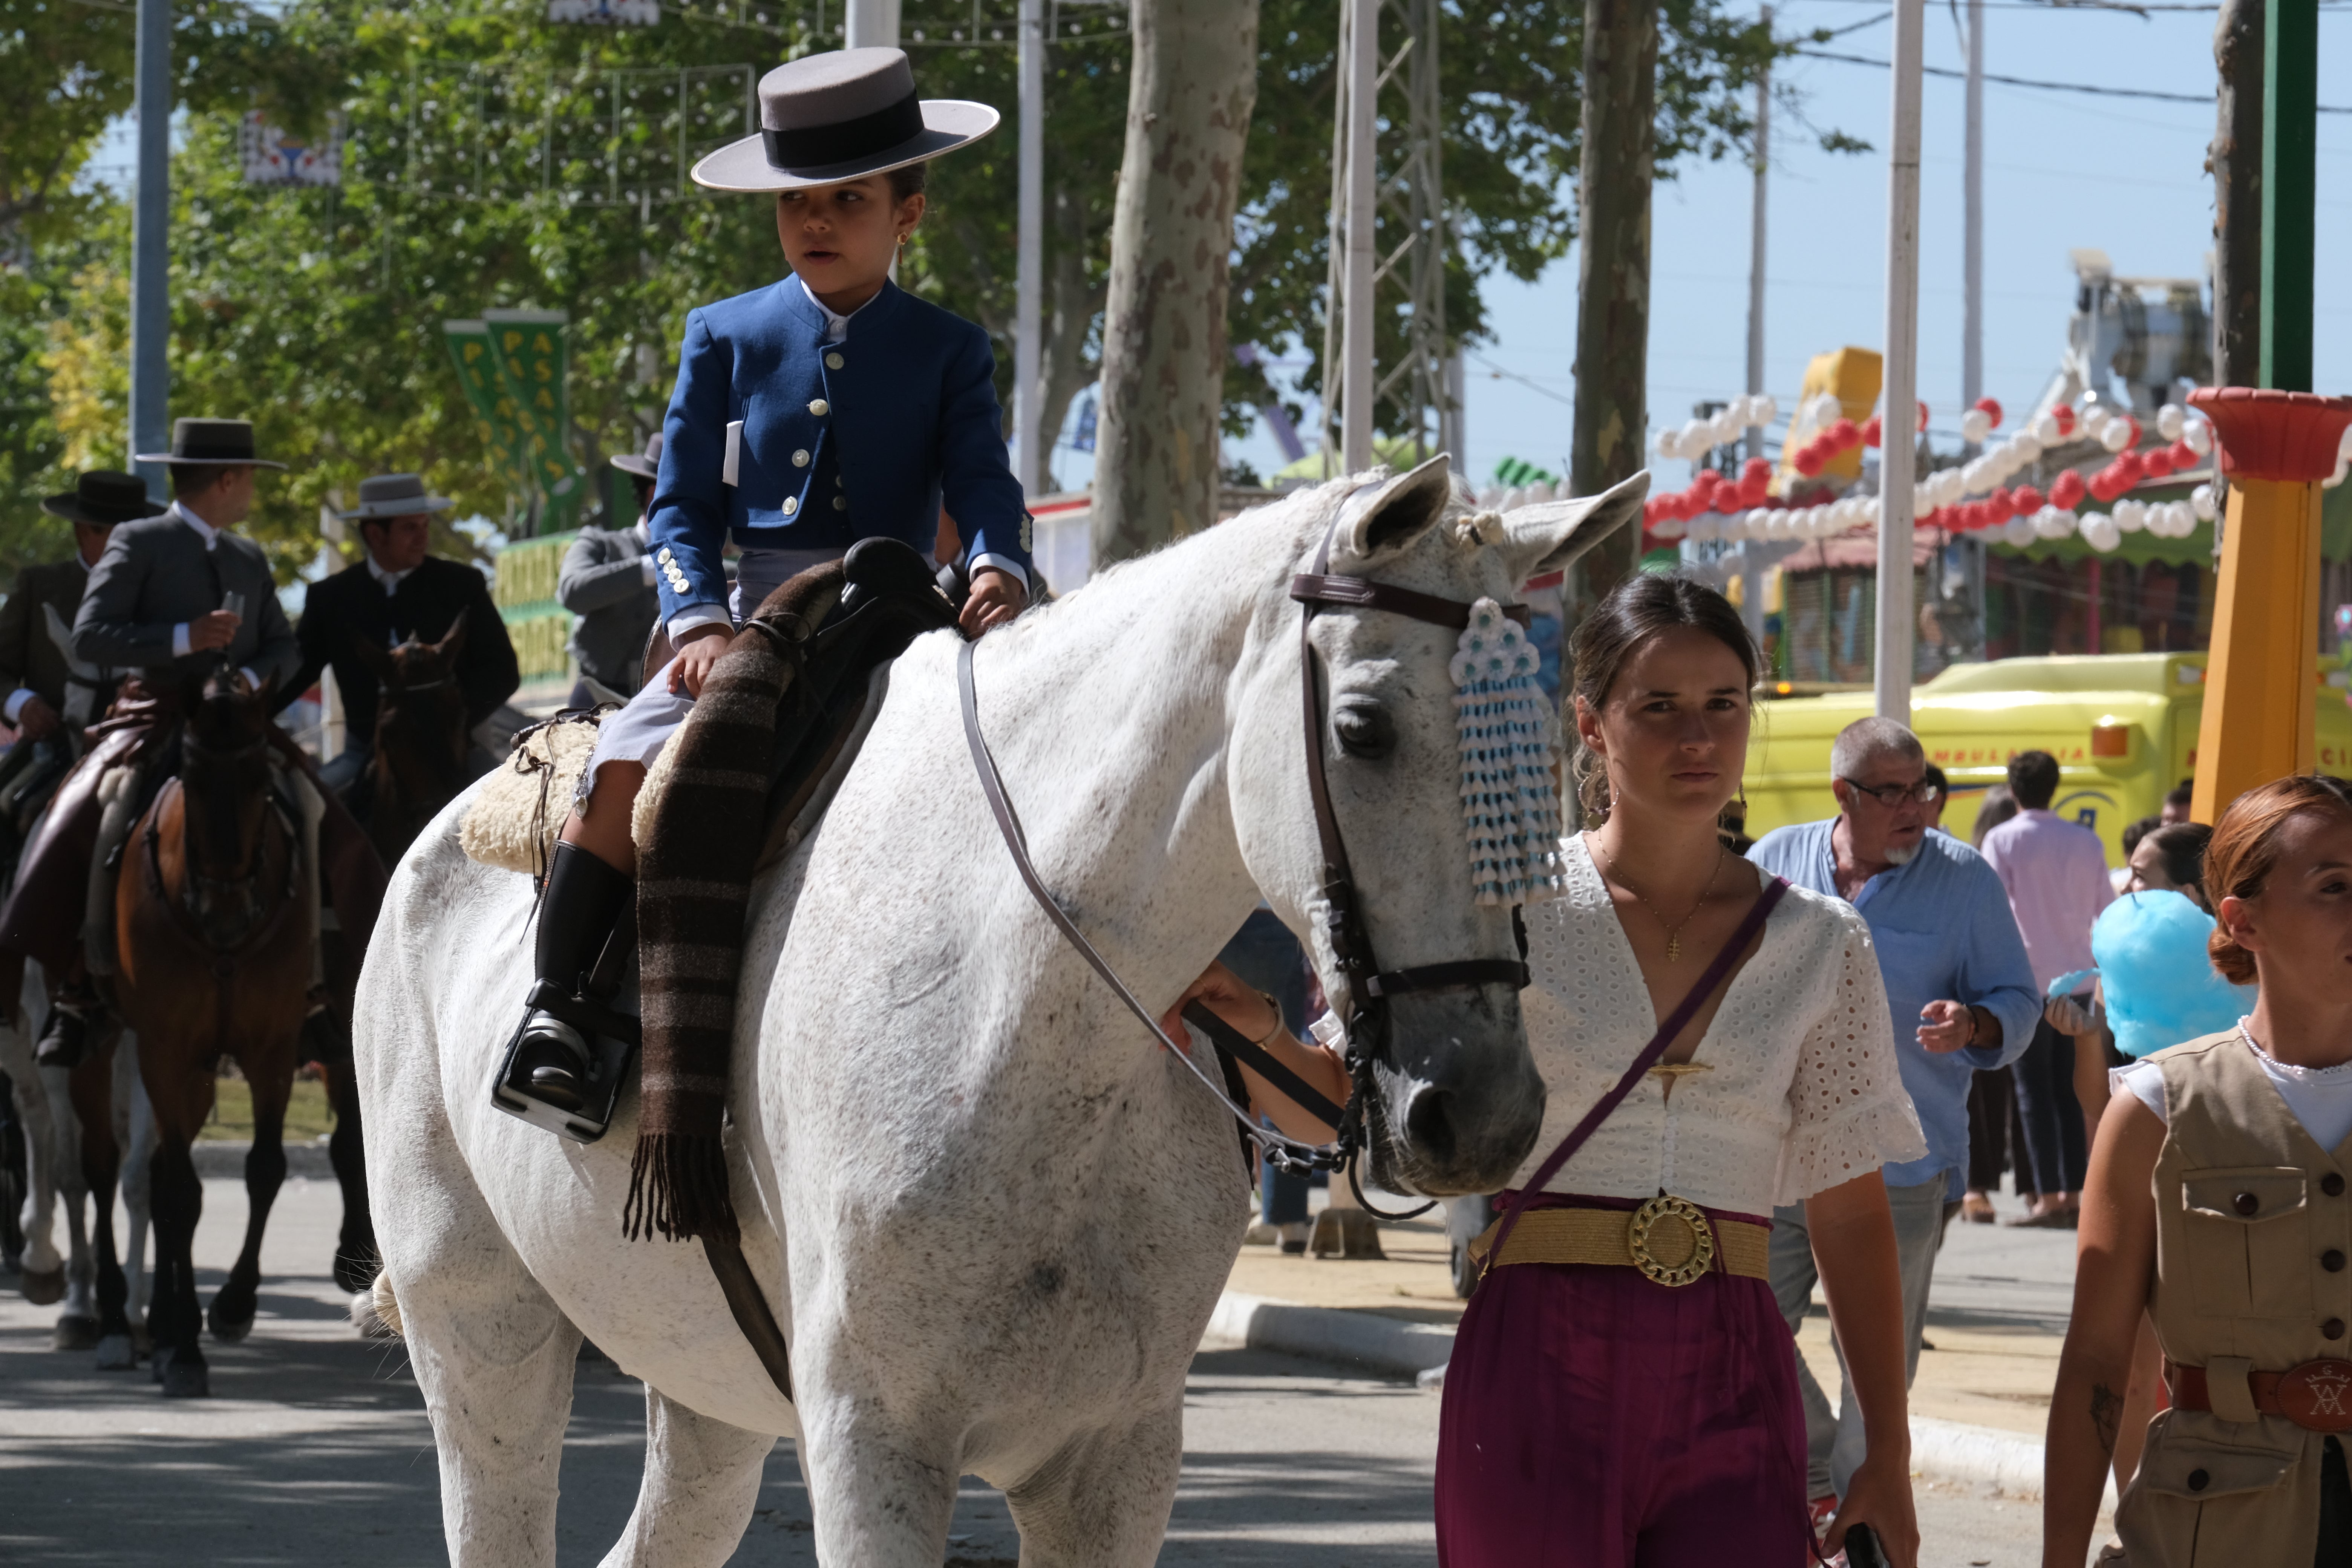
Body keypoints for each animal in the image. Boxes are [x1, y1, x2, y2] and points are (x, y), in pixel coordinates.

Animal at [113, 677, 317, 1401]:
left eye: (261, 777)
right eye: (193, 776)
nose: (225, 909)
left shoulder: (274, 1047)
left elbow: (266, 1168)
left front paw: (233, 1304)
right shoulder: (163, 1051)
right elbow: (179, 1191)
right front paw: (185, 1345)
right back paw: (139, 1326)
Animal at [362, 461, 1637, 1561]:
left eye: (1540, 739)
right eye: (1363, 730)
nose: (1481, 1110)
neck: (1029, 1020)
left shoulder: (1117, 1465)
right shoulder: (872, 1446)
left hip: (700, 1385)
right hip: (481, 1335)